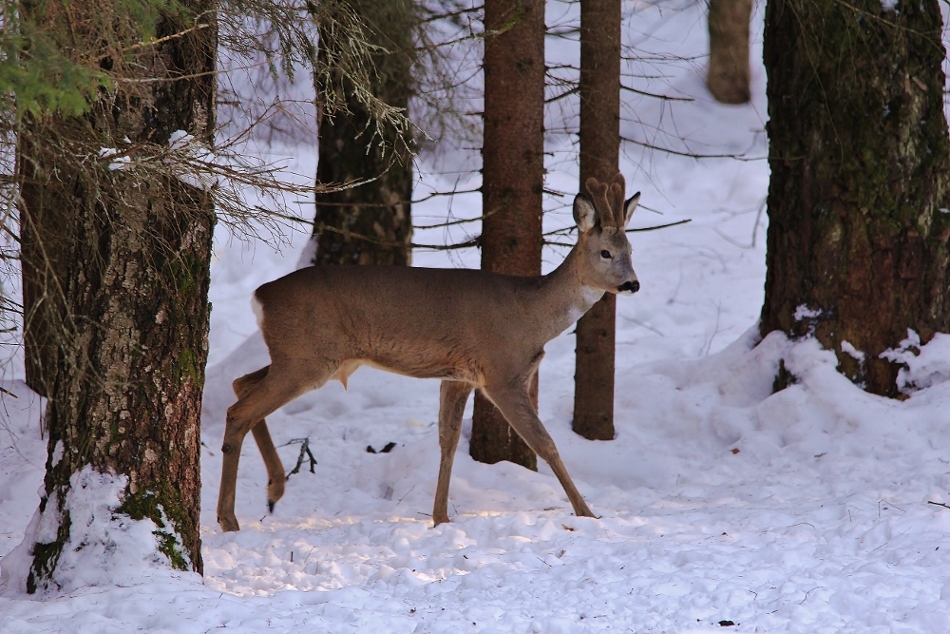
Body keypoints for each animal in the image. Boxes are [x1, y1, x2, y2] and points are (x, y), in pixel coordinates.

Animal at [219, 172, 644, 528]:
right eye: (605, 252)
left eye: (631, 249)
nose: (633, 284)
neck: (531, 314)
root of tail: (260, 296)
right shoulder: (502, 373)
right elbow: (546, 444)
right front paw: (588, 513)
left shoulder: (459, 377)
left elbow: (448, 442)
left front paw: (440, 518)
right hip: (307, 358)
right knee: (240, 410)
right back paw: (230, 518)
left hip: (295, 355)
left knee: (241, 385)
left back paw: (274, 489)